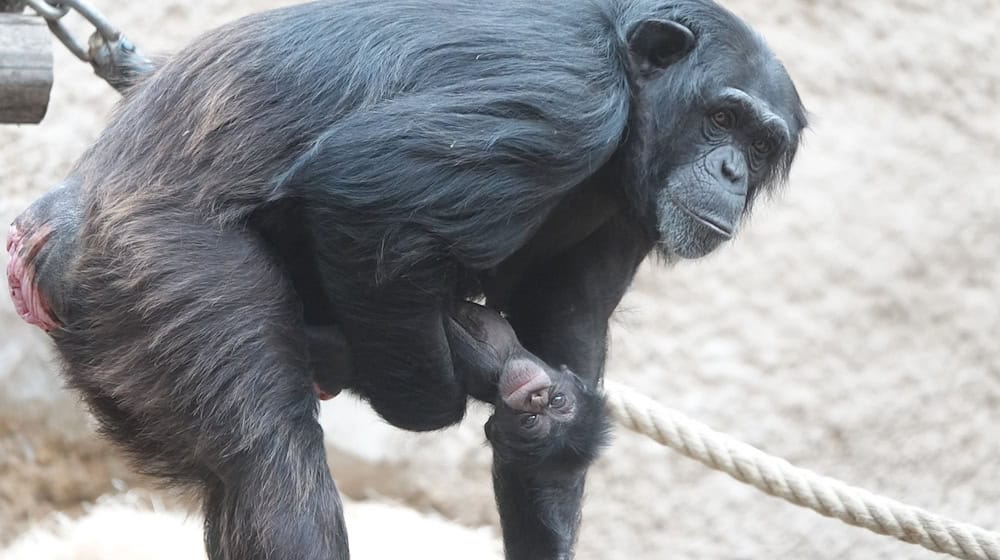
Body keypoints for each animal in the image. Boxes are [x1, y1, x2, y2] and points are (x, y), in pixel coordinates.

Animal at [5, 0, 804, 556]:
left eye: (762, 143)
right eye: (722, 117)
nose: (732, 170)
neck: (635, 101)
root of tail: (43, 239)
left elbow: (568, 333)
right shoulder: (566, 96)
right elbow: (366, 193)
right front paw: (431, 390)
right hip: (158, 265)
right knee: (270, 468)